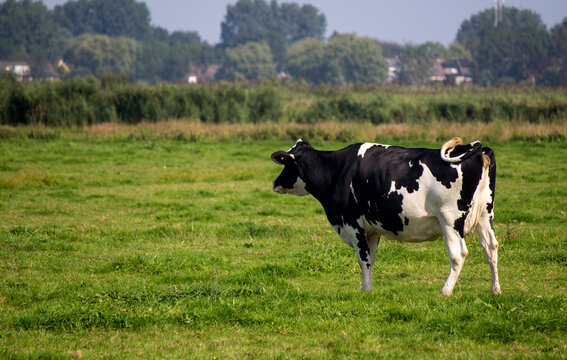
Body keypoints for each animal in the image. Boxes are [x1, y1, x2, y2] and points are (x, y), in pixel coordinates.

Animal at [270, 138, 502, 296]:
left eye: (286, 163)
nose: (274, 183)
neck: (338, 170)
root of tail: (479, 150)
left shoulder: (353, 224)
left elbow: (363, 259)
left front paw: (365, 291)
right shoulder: (371, 229)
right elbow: (371, 260)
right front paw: (369, 289)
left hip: (450, 219)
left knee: (458, 254)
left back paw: (445, 292)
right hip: (485, 213)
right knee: (491, 247)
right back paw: (495, 290)